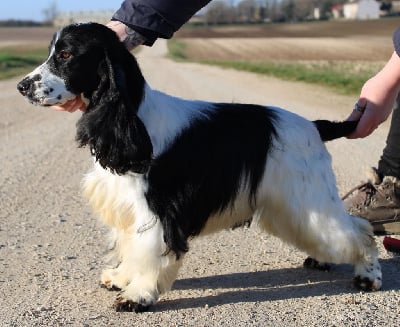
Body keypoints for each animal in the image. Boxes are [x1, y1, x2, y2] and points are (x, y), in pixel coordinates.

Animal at [18, 23, 382, 312]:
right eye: (52, 52)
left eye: (66, 55)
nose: (22, 86)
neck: (132, 116)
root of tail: (314, 126)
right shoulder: (127, 206)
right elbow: (130, 246)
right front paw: (121, 278)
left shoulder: (157, 210)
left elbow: (149, 251)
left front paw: (138, 295)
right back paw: (324, 260)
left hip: (308, 200)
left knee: (359, 229)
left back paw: (368, 275)